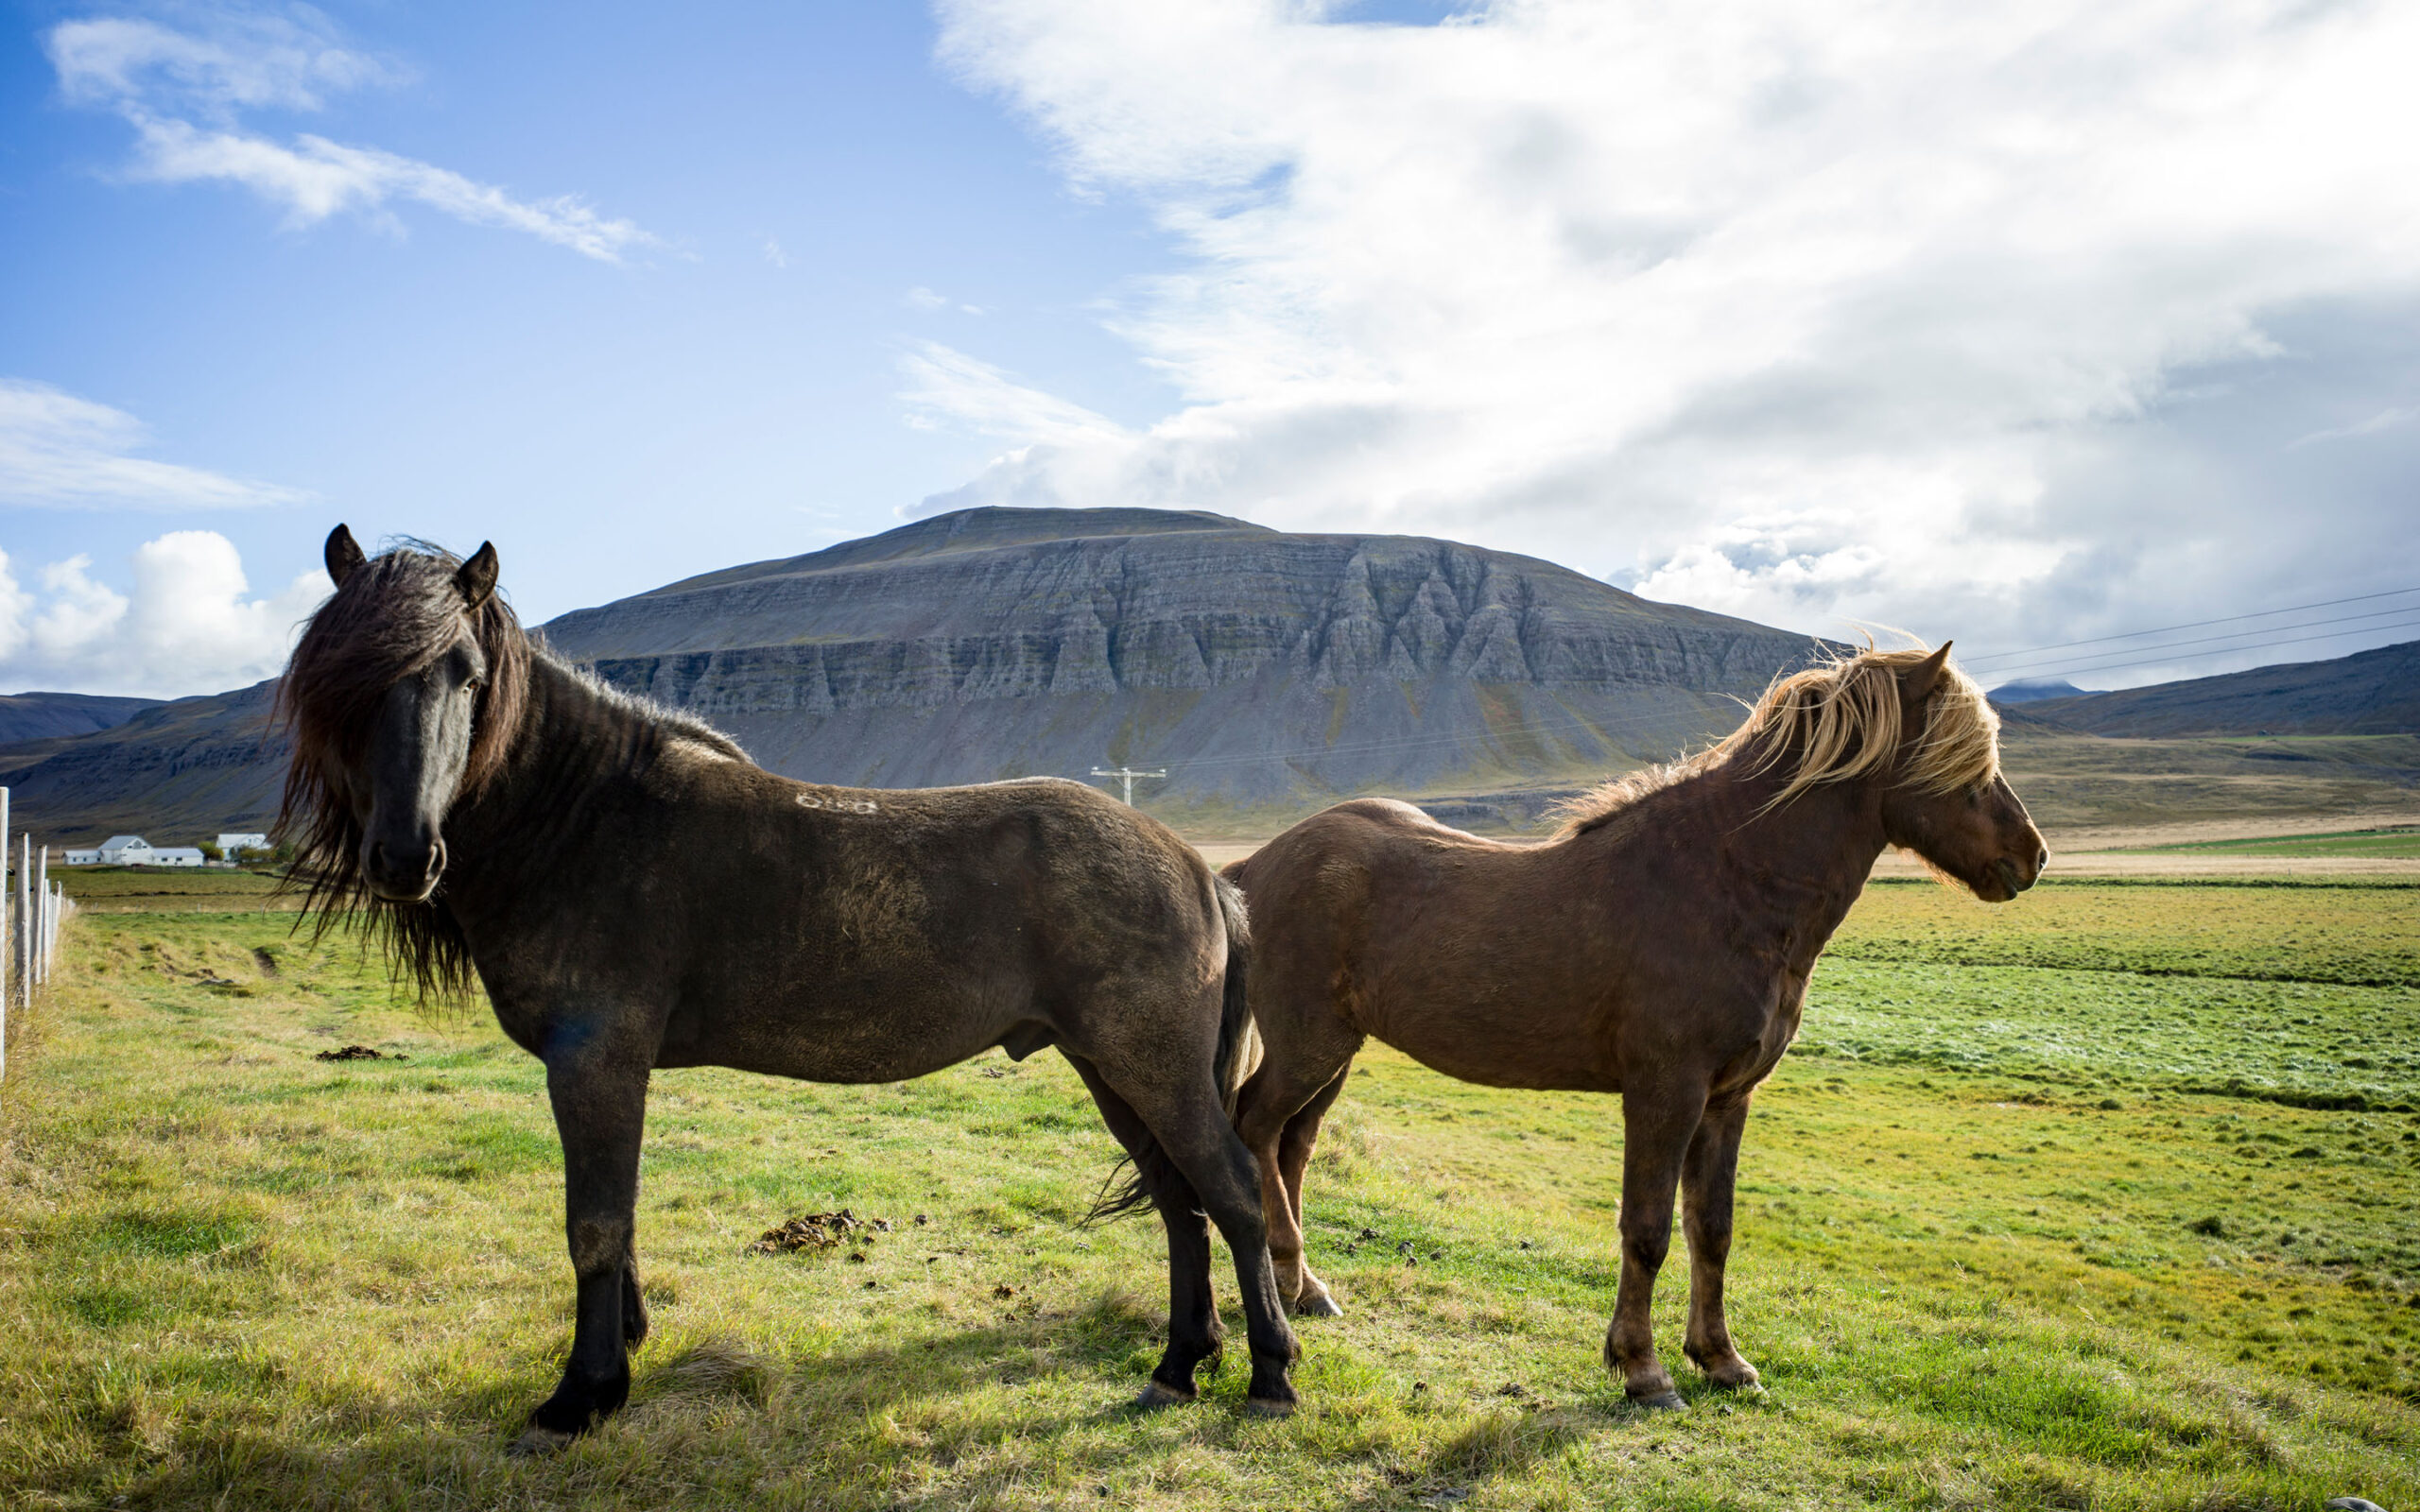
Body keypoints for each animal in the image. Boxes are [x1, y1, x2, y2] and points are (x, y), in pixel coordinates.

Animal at [276, 527, 1298, 1453]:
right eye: (350, 678)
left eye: (466, 672)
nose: (406, 854)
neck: (585, 820)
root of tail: (1196, 867)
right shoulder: (605, 1070)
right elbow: (619, 1219)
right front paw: (621, 1357)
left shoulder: (595, 1060)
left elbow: (594, 1226)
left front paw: (581, 1397)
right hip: (1110, 1069)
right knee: (1180, 1202)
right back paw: (1178, 1365)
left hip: (1151, 1067)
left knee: (1233, 1192)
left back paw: (1270, 1373)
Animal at [1222, 643, 2045, 1408]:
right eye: (1966, 761)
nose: (2031, 857)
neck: (1727, 884)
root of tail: (1253, 866)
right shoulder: (1665, 1092)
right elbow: (1647, 1230)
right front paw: (1643, 1369)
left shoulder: (1727, 1100)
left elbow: (1712, 1229)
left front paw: (1723, 1359)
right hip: (1309, 1046)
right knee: (1255, 1128)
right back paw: (1279, 1289)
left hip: (1336, 1055)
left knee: (1293, 1147)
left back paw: (1304, 1287)